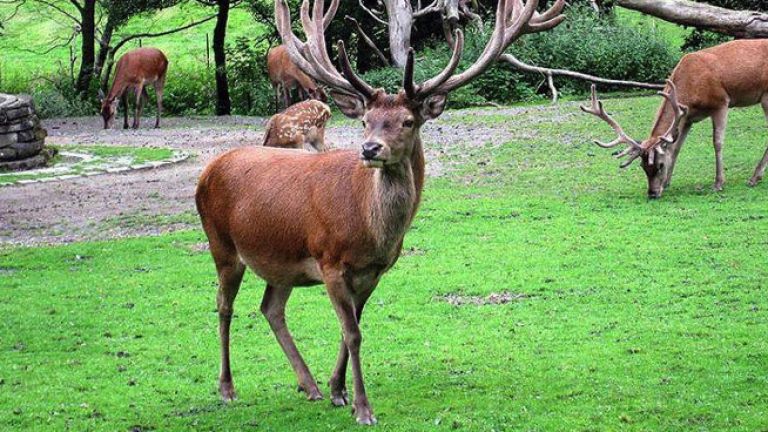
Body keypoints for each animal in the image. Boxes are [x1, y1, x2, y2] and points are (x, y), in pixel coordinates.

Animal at [195, 0, 564, 424]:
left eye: (407, 121)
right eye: (365, 121)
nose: (370, 148)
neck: (369, 231)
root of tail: (207, 171)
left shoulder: (374, 271)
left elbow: (351, 327)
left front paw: (338, 391)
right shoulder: (330, 261)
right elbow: (353, 333)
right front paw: (363, 407)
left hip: (281, 260)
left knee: (270, 308)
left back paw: (309, 385)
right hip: (222, 245)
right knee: (224, 305)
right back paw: (227, 388)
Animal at [584, 38, 768, 197]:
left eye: (660, 165)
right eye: (642, 166)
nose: (652, 193)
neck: (691, 91)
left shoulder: (721, 102)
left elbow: (717, 142)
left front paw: (718, 183)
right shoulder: (687, 118)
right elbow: (676, 147)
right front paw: (667, 183)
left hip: (765, 96)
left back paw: (754, 178)